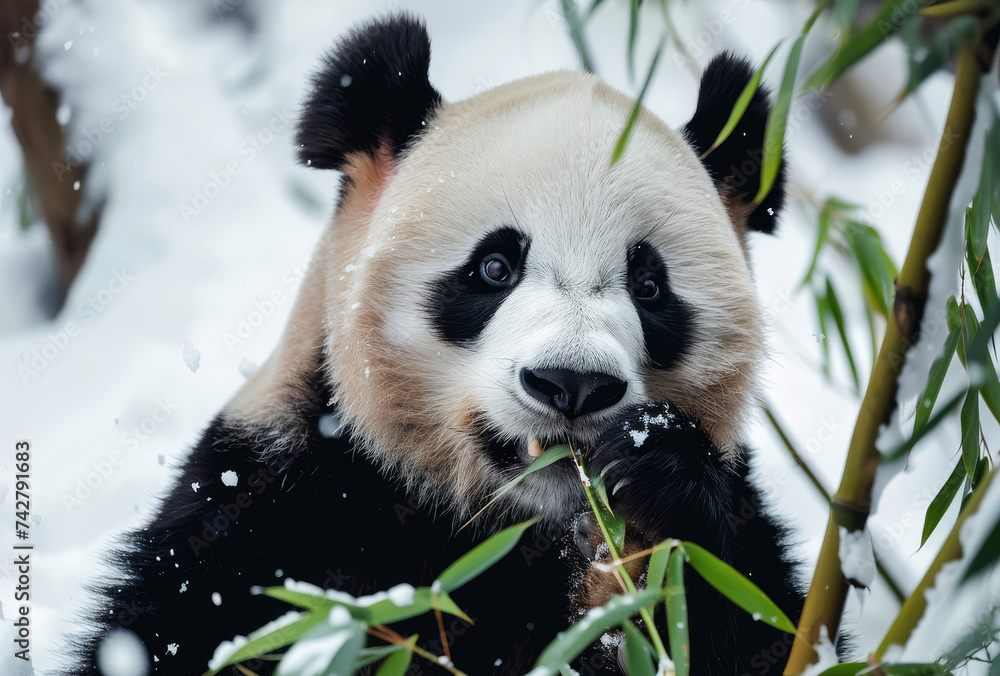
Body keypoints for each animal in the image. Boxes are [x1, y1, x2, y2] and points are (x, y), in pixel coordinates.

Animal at [67, 13, 803, 676]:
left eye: (649, 286)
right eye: (494, 267)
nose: (573, 384)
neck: (501, 518)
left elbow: (755, 622)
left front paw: (661, 468)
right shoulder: (273, 502)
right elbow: (182, 631)